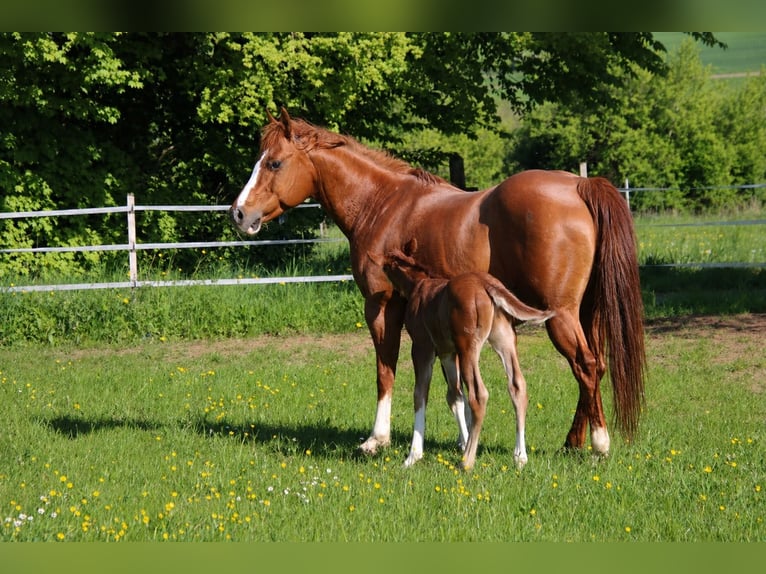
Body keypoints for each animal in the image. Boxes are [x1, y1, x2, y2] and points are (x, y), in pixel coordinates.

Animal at [372, 240, 554, 469]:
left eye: (385, 265)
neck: (417, 285)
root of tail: (487, 284)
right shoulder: (447, 352)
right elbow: (455, 395)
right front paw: (464, 441)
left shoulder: (422, 347)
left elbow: (420, 394)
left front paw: (413, 456)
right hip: (504, 339)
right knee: (517, 386)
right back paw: (520, 456)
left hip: (468, 346)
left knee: (479, 393)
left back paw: (467, 461)